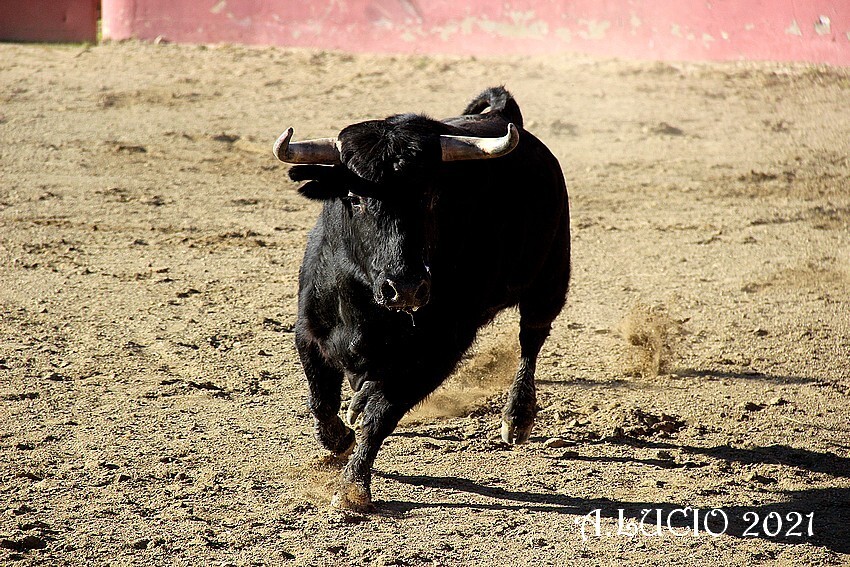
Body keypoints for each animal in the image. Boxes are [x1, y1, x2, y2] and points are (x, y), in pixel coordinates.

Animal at [274, 86, 570, 511]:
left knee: (531, 338)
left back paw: (517, 418)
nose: (407, 289)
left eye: (429, 196)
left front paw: (352, 488)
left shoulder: (439, 352)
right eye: (354, 197)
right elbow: (322, 400)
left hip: (549, 280)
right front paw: (340, 437)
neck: (365, 305)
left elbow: (382, 415)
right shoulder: (309, 332)